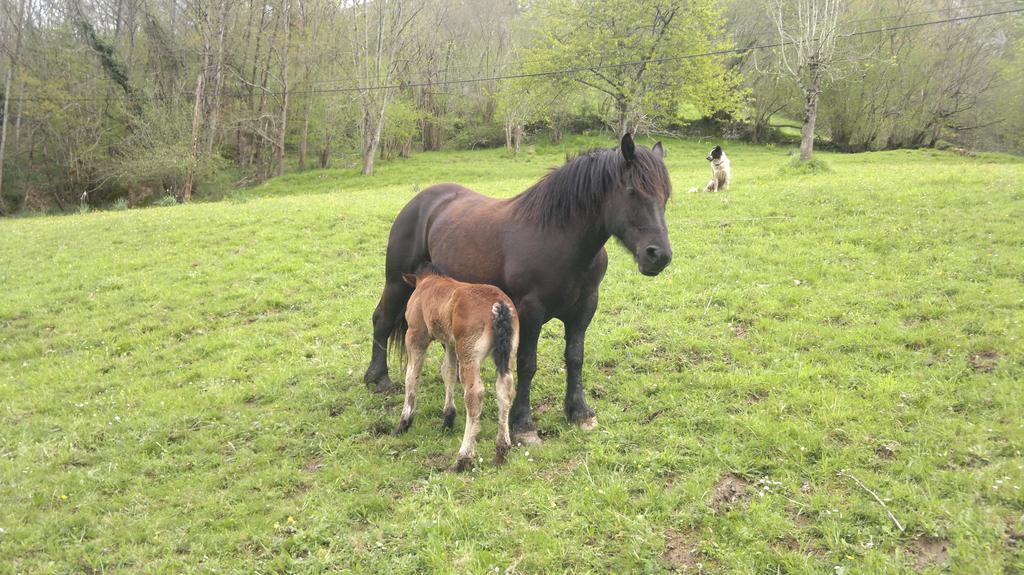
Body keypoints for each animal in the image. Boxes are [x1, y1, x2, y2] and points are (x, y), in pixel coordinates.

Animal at [366, 134, 671, 444]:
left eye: (665, 195)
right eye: (633, 191)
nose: (658, 255)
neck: (559, 238)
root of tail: (420, 200)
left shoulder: (585, 308)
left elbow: (575, 357)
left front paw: (579, 412)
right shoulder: (529, 311)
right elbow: (527, 362)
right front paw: (524, 423)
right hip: (397, 283)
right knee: (382, 319)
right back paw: (378, 379)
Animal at [391, 266, 520, 468]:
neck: (428, 282)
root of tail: (499, 305)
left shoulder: (416, 335)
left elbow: (412, 376)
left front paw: (404, 422)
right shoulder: (450, 343)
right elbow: (448, 372)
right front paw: (448, 418)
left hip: (468, 354)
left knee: (474, 395)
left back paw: (463, 458)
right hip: (508, 354)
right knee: (505, 390)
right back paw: (501, 451)